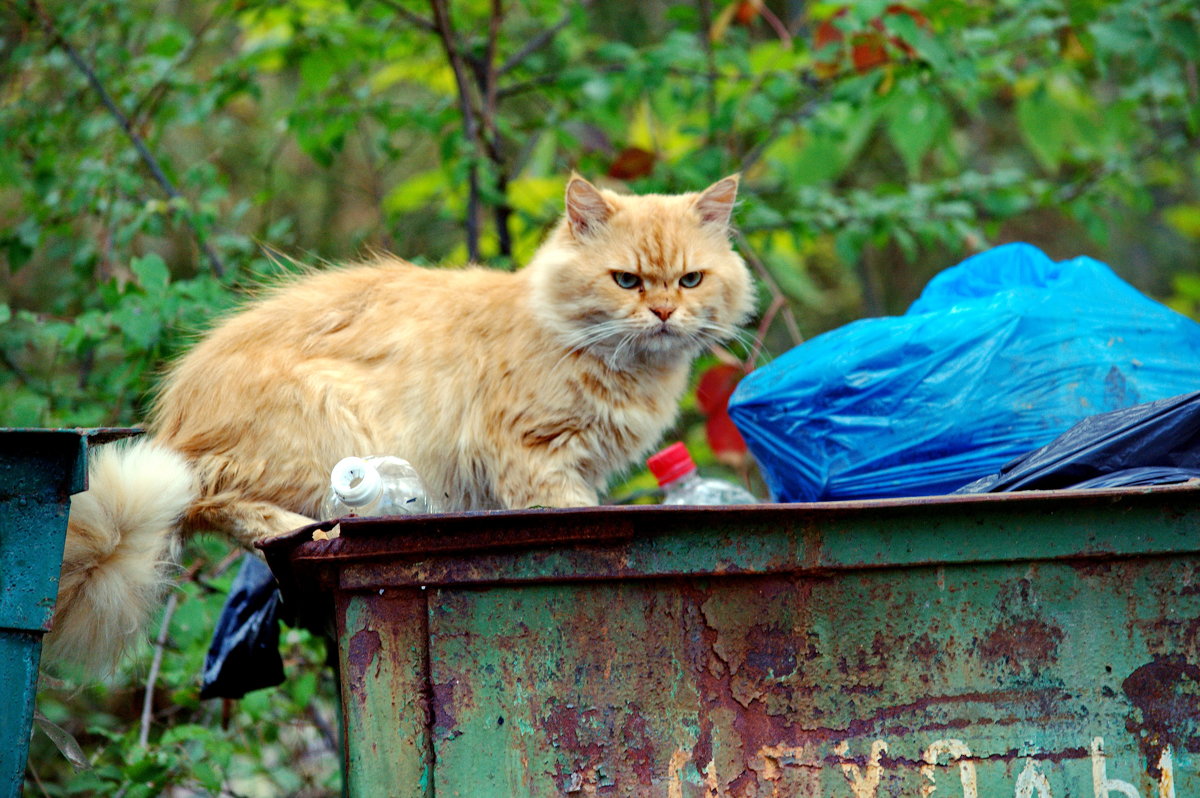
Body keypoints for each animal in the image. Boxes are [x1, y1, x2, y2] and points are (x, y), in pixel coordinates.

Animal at [54, 177, 758, 667]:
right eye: (627, 281)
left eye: (691, 280)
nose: (664, 313)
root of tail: (175, 423)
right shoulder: (534, 457)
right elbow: (568, 509)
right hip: (324, 428)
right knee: (222, 504)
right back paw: (302, 526)